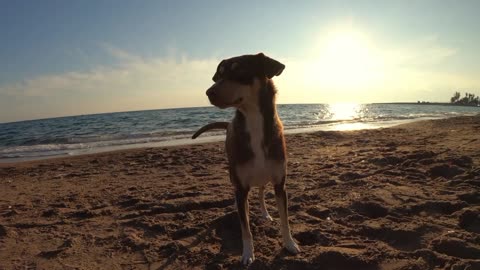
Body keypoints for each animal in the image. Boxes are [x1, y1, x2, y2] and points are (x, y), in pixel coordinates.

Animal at [191, 52, 300, 264]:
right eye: (219, 75)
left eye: (239, 71)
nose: (209, 92)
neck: (254, 121)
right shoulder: (241, 188)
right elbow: (245, 227)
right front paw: (248, 253)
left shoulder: (280, 184)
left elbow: (285, 220)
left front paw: (289, 244)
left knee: (260, 192)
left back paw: (265, 213)